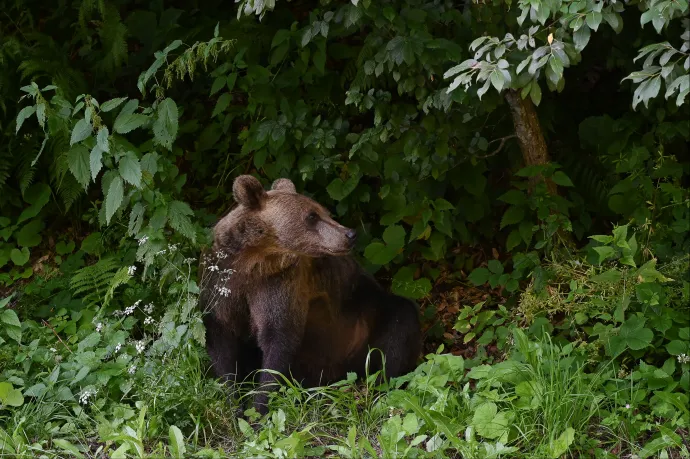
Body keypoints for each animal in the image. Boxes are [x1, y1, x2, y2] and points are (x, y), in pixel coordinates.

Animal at [198, 175, 420, 414]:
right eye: (312, 216)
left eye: (325, 211)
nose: (350, 234)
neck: (253, 262)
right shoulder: (222, 281)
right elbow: (221, 339)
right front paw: (234, 401)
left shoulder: (280, 283)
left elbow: (278, 337)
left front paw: (259, 407)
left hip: (365, 319)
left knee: (400, 323)